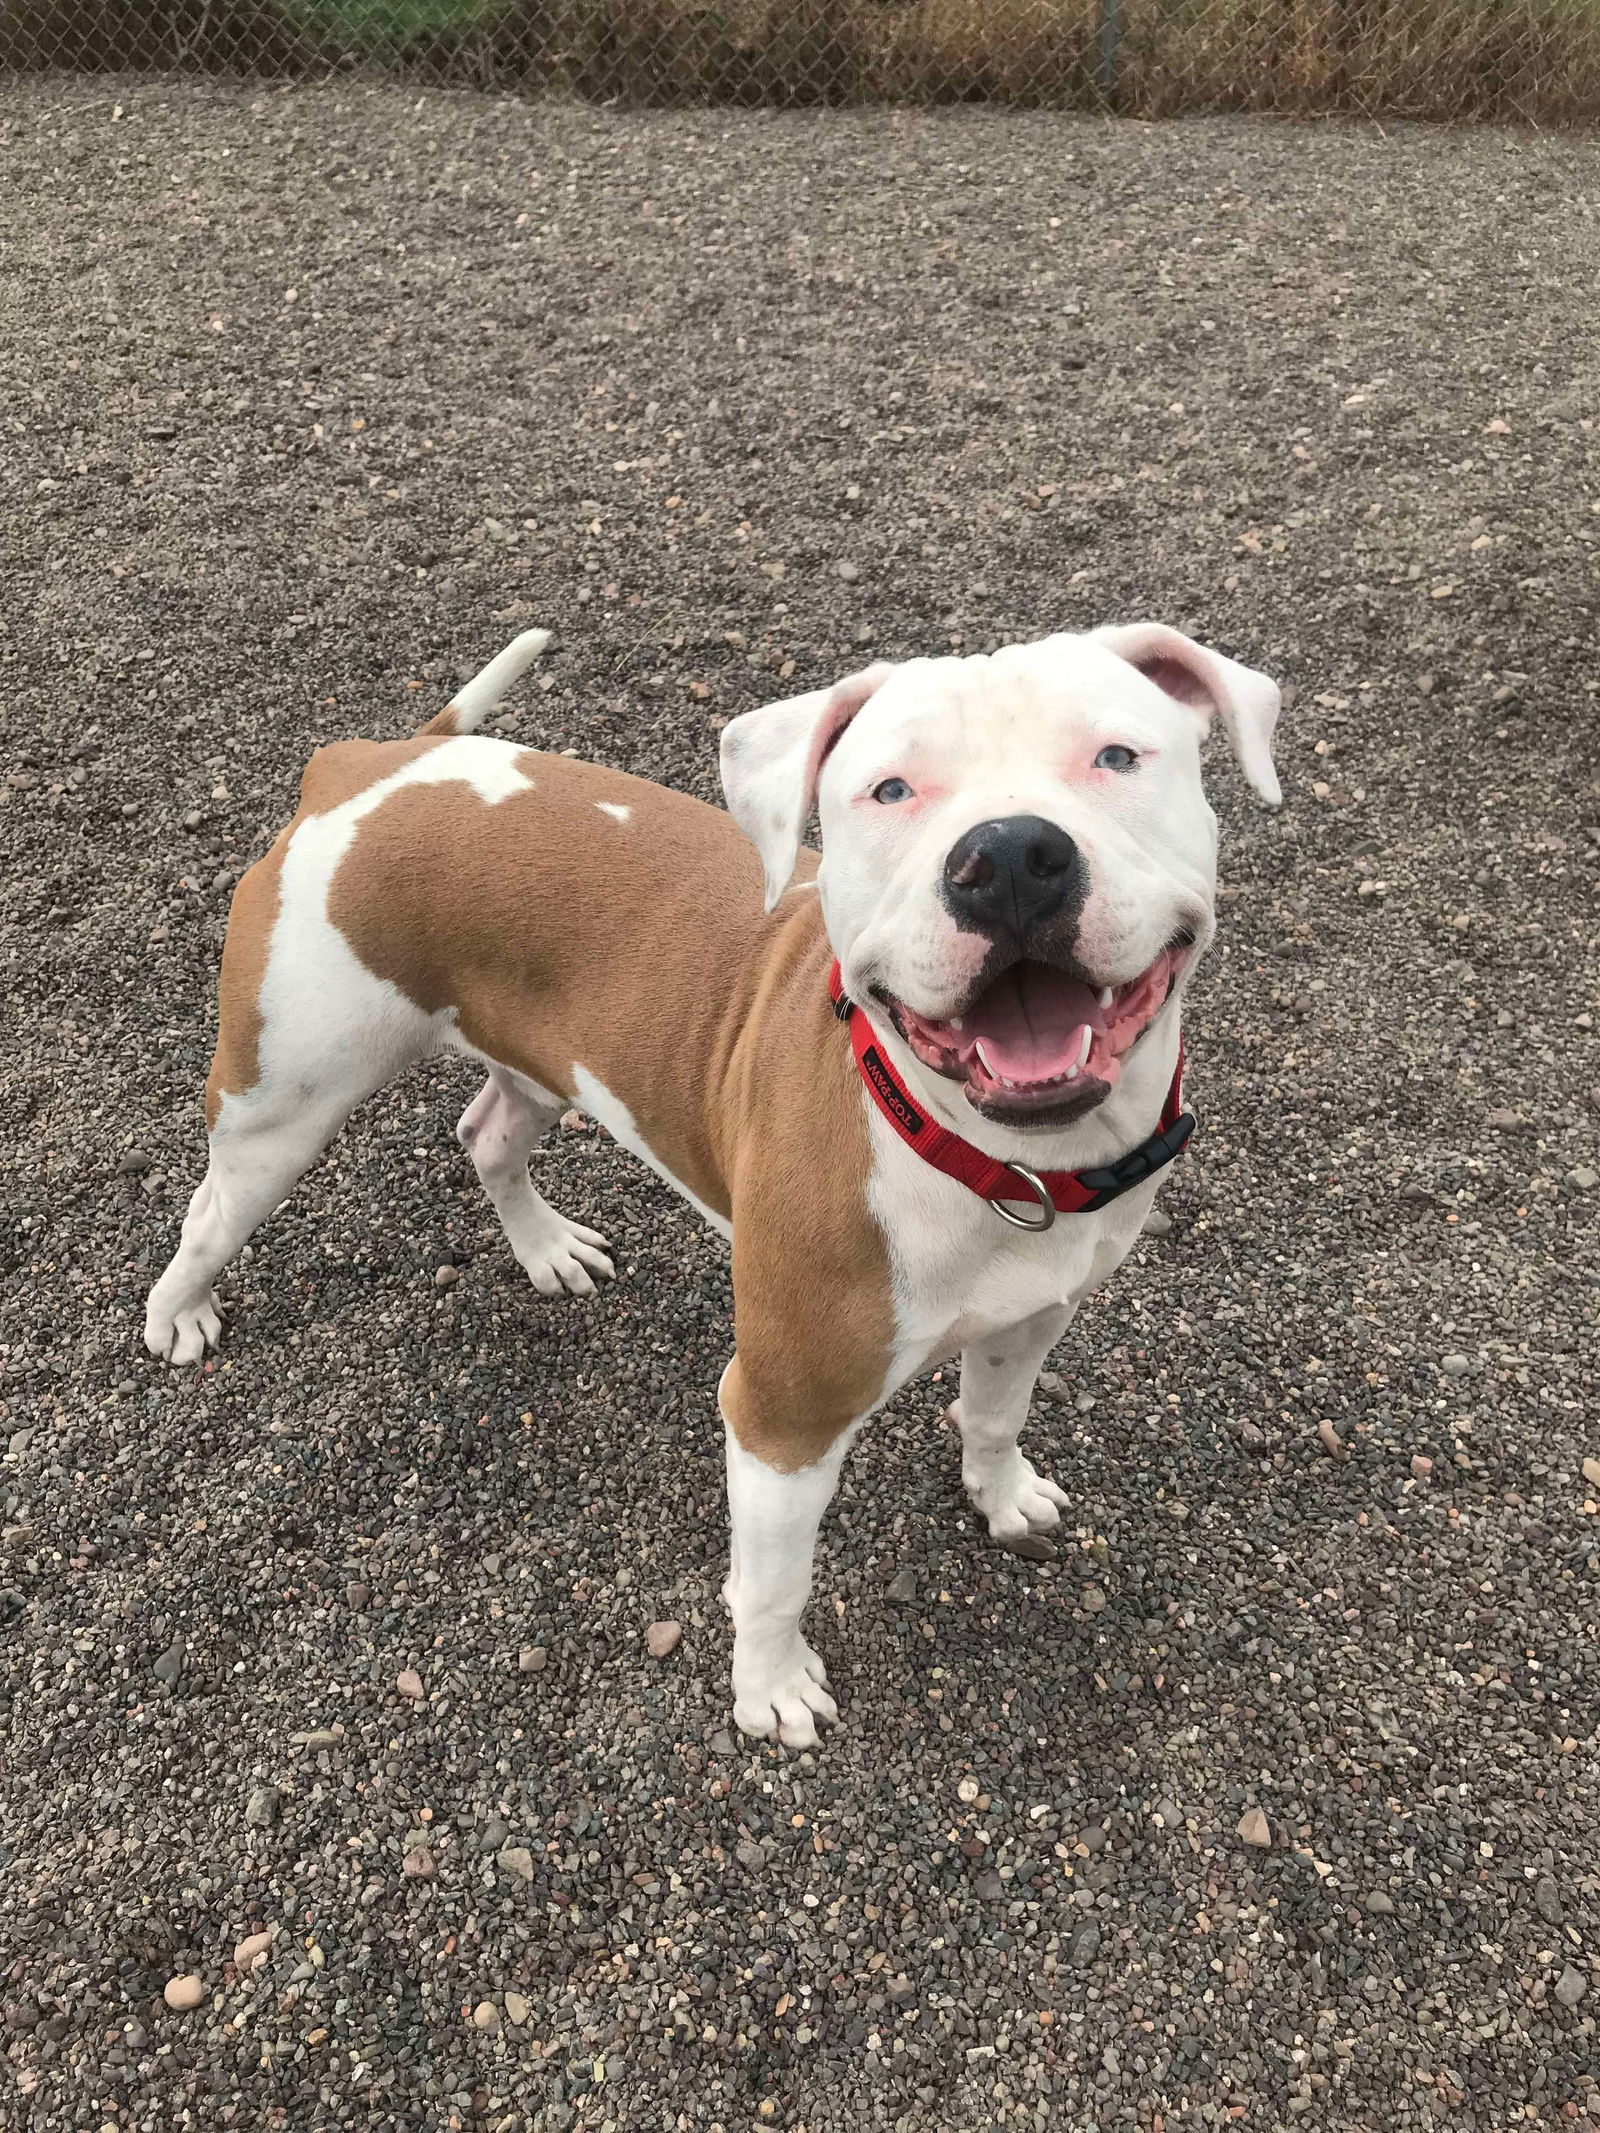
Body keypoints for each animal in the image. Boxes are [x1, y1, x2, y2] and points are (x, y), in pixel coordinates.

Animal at [147, 622, 1280, 1749]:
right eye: (889, 789)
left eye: (1117, 757)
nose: (1004, 857)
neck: (984, 1155)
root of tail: (370, 765)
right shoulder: (781, 1415)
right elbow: (776, 1579)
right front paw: (770, 1690)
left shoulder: (1034, 1313)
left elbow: (995, 1416)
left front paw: (1001, 1497)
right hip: (283, 1102)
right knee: (209, 1213)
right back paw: (178, 1316)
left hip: (541, 1065)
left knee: (487, 1136)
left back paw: (547, 1249)